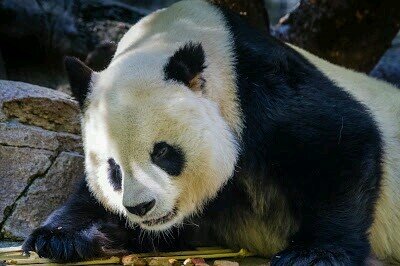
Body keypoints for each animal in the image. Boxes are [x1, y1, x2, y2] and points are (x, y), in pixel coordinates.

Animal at [22, 0, 400, 264]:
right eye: (112, 168)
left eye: (162, 152)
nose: (141, 207)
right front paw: (57, 236)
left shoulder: (261, 87)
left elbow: (340, 140)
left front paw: (313, 253)